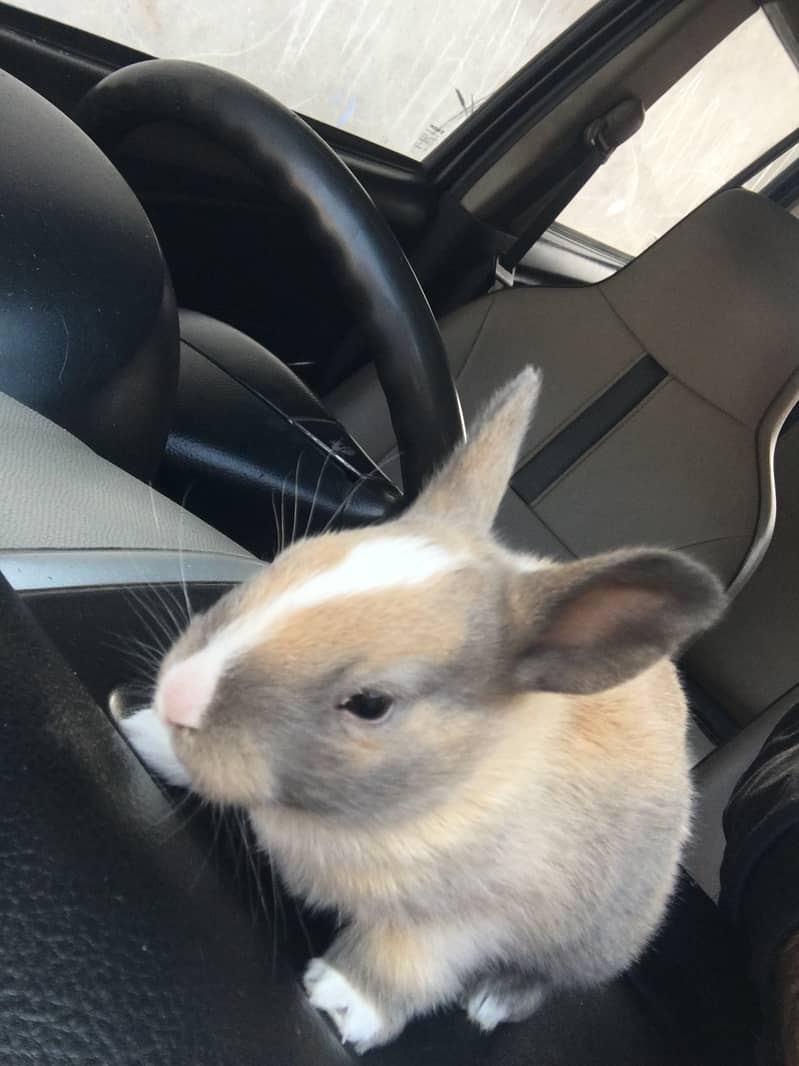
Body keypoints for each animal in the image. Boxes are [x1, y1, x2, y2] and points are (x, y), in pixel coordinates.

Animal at [121, 370, 728, 1053]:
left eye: (370, 704)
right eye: (285, 559)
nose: (179, 693)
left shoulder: (455, 926)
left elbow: (402, 967)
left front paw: (342, 1003)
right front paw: (143, 730)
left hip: (594, 943)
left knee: (544, 978)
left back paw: (495, 1000)